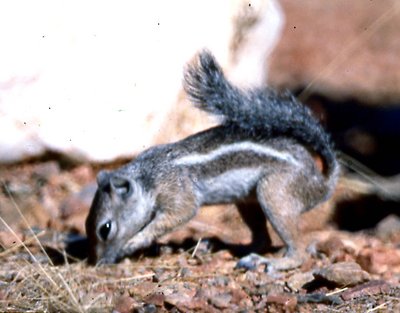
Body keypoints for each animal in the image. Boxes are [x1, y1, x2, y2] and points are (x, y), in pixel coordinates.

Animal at [86, 50, 340, 270]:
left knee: (298, 251)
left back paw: (275, 262)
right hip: (248, 203)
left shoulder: (178, 194)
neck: (150, 175)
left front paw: (135, 241)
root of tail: (322, 182)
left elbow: (179, 215)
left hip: (275, 194)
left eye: (105, 229)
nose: (97, 263)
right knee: (262, 239)